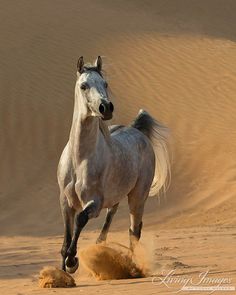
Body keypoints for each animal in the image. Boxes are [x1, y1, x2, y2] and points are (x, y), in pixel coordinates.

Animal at [57, 56, 171, 274]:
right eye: (84, 86)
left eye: (105, 84)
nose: (106, 108)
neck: (79, 160)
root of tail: (137, 131)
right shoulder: (65, 202)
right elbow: (66, 239)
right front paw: (64, 269)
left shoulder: (94, 203)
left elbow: (80, 220)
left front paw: (72, 261)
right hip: (116, 198)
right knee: (111, 220)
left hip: (137, 197)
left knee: (134, 230)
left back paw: (134, 267)